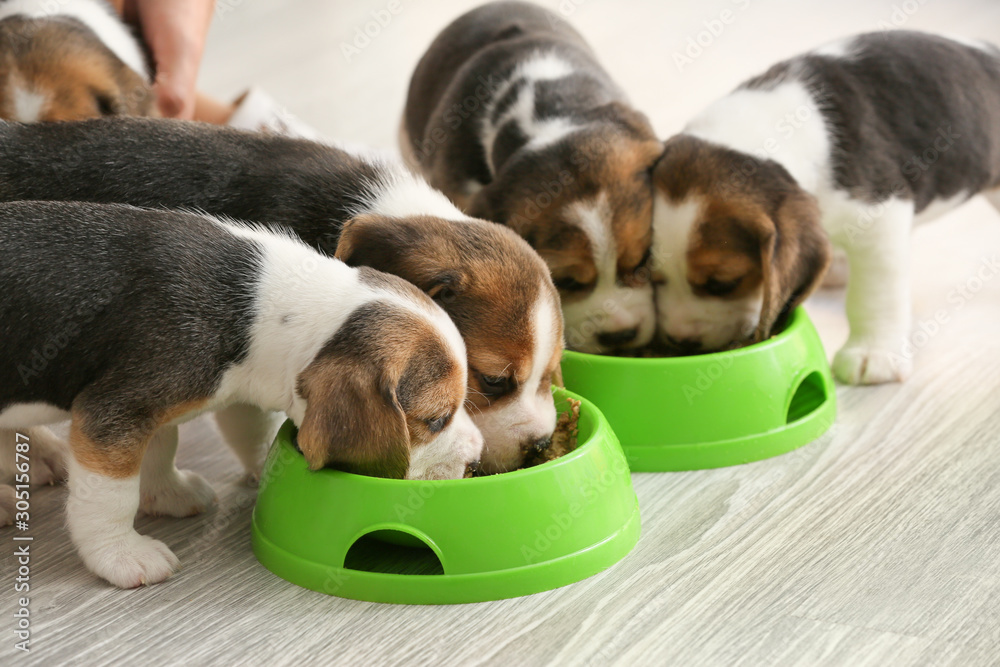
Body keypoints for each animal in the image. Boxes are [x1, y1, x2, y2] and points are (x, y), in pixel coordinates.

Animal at [0, 201, 484, 588]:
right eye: (436, 420)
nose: (478, 457)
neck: (264, 308)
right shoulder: (114, 411)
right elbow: (111, 497)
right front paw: (121, 554)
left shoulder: (151, 404)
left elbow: (161, 446)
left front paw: (167, 492)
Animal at [648, 32, 1000, 386]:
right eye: (652, 278)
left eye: (723, 284)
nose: (680, 341)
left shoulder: (880, 217)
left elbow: (874, 295)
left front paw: (873, 354)